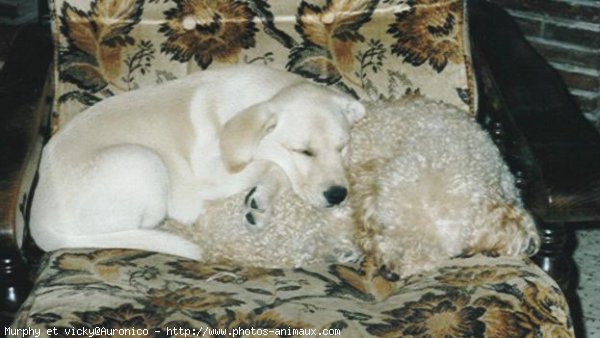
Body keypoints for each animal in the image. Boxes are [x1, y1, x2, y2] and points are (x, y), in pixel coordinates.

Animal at [31, 65, 366, 258]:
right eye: (304, 151)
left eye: (343, 146)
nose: (338, 195)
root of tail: (39, 225)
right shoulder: (214, 175)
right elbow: (275, 165)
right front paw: (261, 202)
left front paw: (260, 200)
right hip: (143, 160)